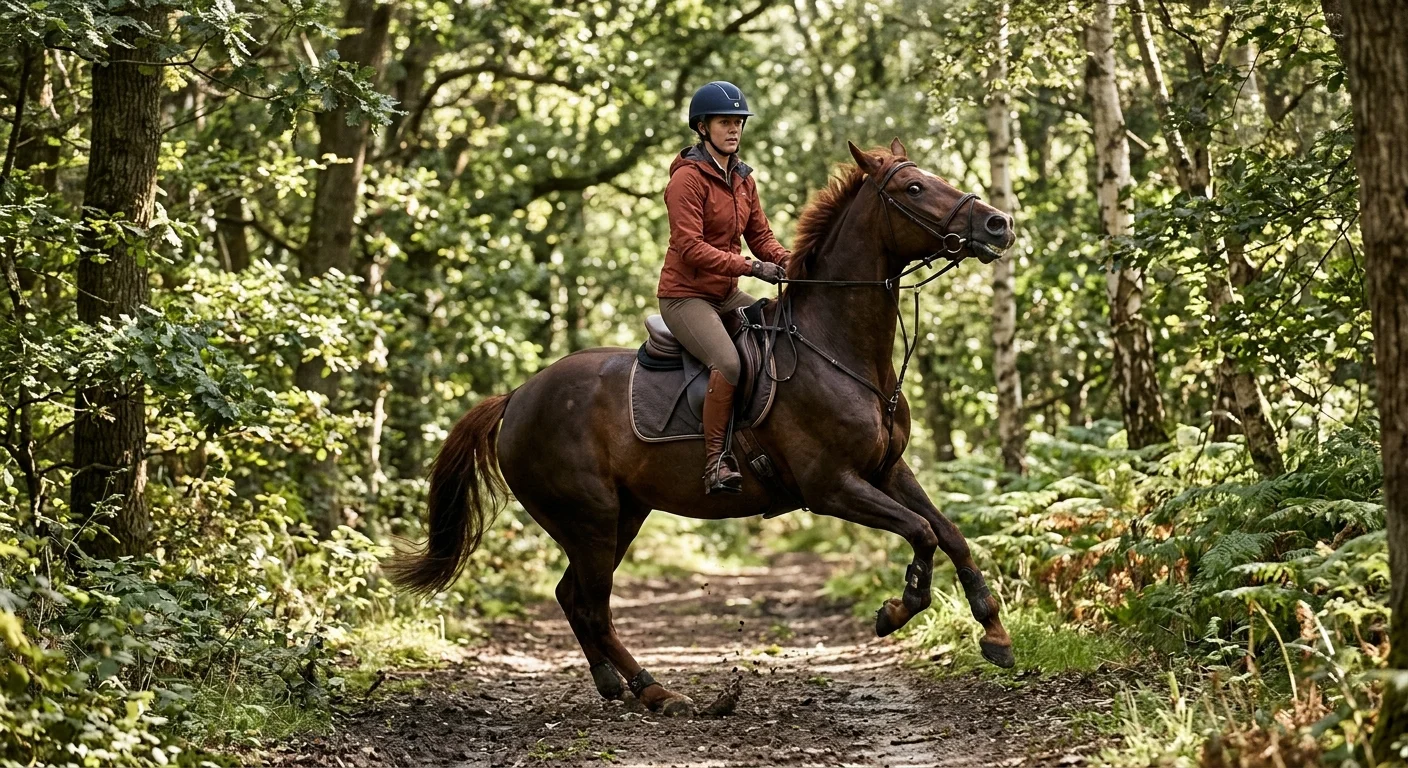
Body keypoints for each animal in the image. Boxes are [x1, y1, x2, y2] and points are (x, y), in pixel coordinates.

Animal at [389, 138, 1017, 716]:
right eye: (914, 188)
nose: (999, 223)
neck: (839, 349)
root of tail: (517, 396)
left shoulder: (886, 470)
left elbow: (949, 532)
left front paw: (995, 634)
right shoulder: (832, 487)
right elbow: (922, 532)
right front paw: (896, 609)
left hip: (622, 515)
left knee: (573, 597)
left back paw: (616, 684)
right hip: (590, 518)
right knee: (592, 605)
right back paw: (657, 691)